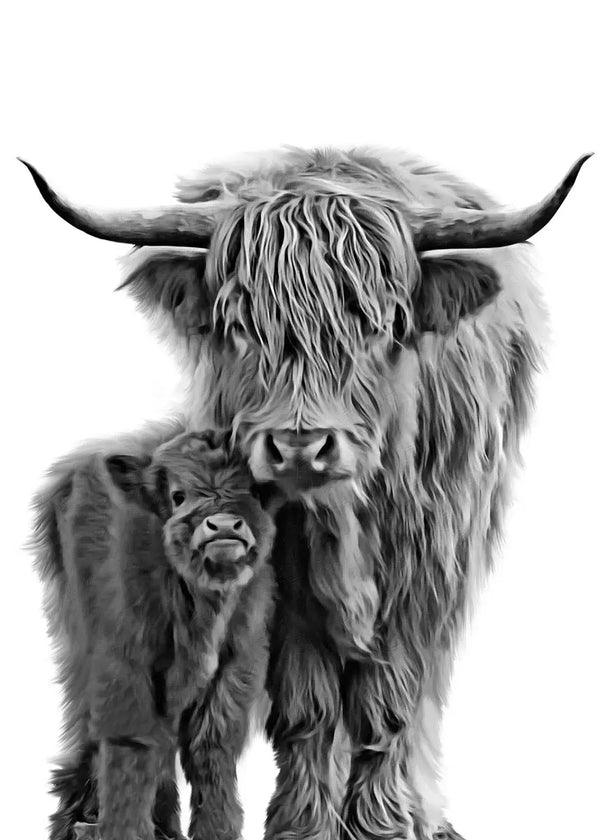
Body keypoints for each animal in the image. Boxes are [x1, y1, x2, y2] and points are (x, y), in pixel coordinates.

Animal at [31, 430, 277, 840]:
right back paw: (78, 820)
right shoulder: (126, 665)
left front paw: (217, 831)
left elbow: (211, 748)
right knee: (89, 725)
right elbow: (132, 744)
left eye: (254, 491)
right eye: (178, 495)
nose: (225, 525)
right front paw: (123, 830)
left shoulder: (236, 667)